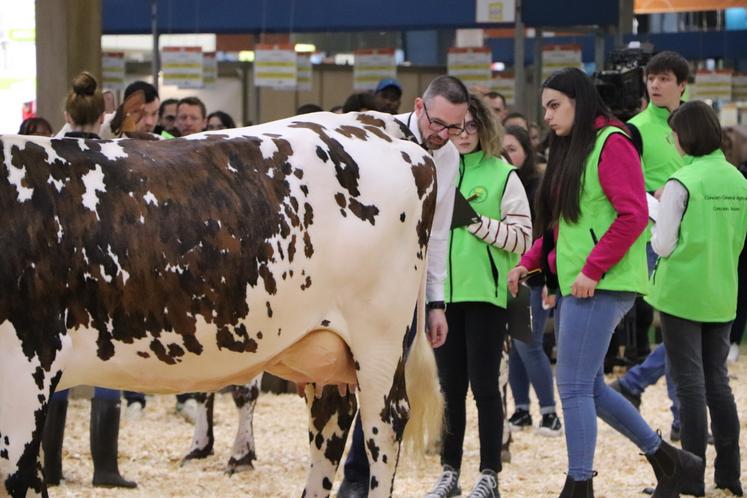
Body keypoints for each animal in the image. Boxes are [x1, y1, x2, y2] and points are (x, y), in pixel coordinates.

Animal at [0, 112, 444, 498]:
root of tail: (368, 122)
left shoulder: (24, 374)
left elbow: (19, 476)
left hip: (378, 341)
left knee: (382, 426)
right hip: (323, 348)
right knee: (331, 420)